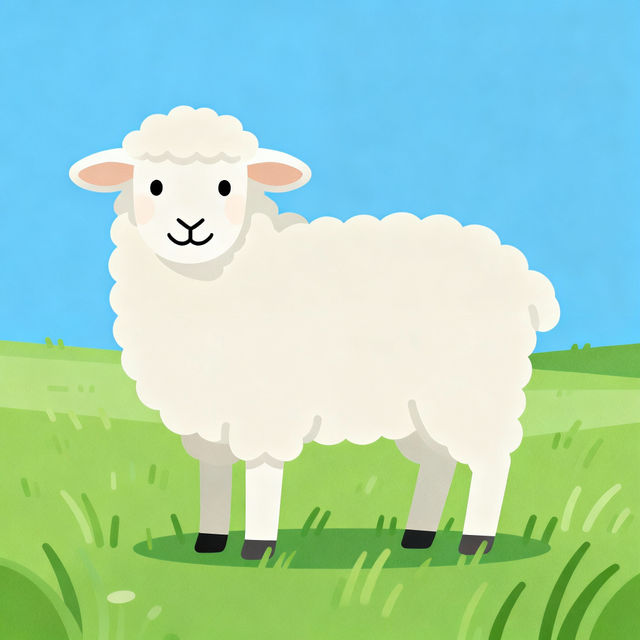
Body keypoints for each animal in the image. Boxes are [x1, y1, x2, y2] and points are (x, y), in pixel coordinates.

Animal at [69, 106, 560, 560]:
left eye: (226, 186)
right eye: (154, 186)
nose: (190, 228)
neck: (217, 277)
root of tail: (525, 278)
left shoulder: (266, 406)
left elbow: (262, 474)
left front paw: (258, 548)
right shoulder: (211, 410)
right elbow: (214, 477)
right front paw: (209, 542)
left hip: (473, 388)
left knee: (491, 460)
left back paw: (476, 543)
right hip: (424, 404)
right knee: (440, 462)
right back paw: (417, 537)